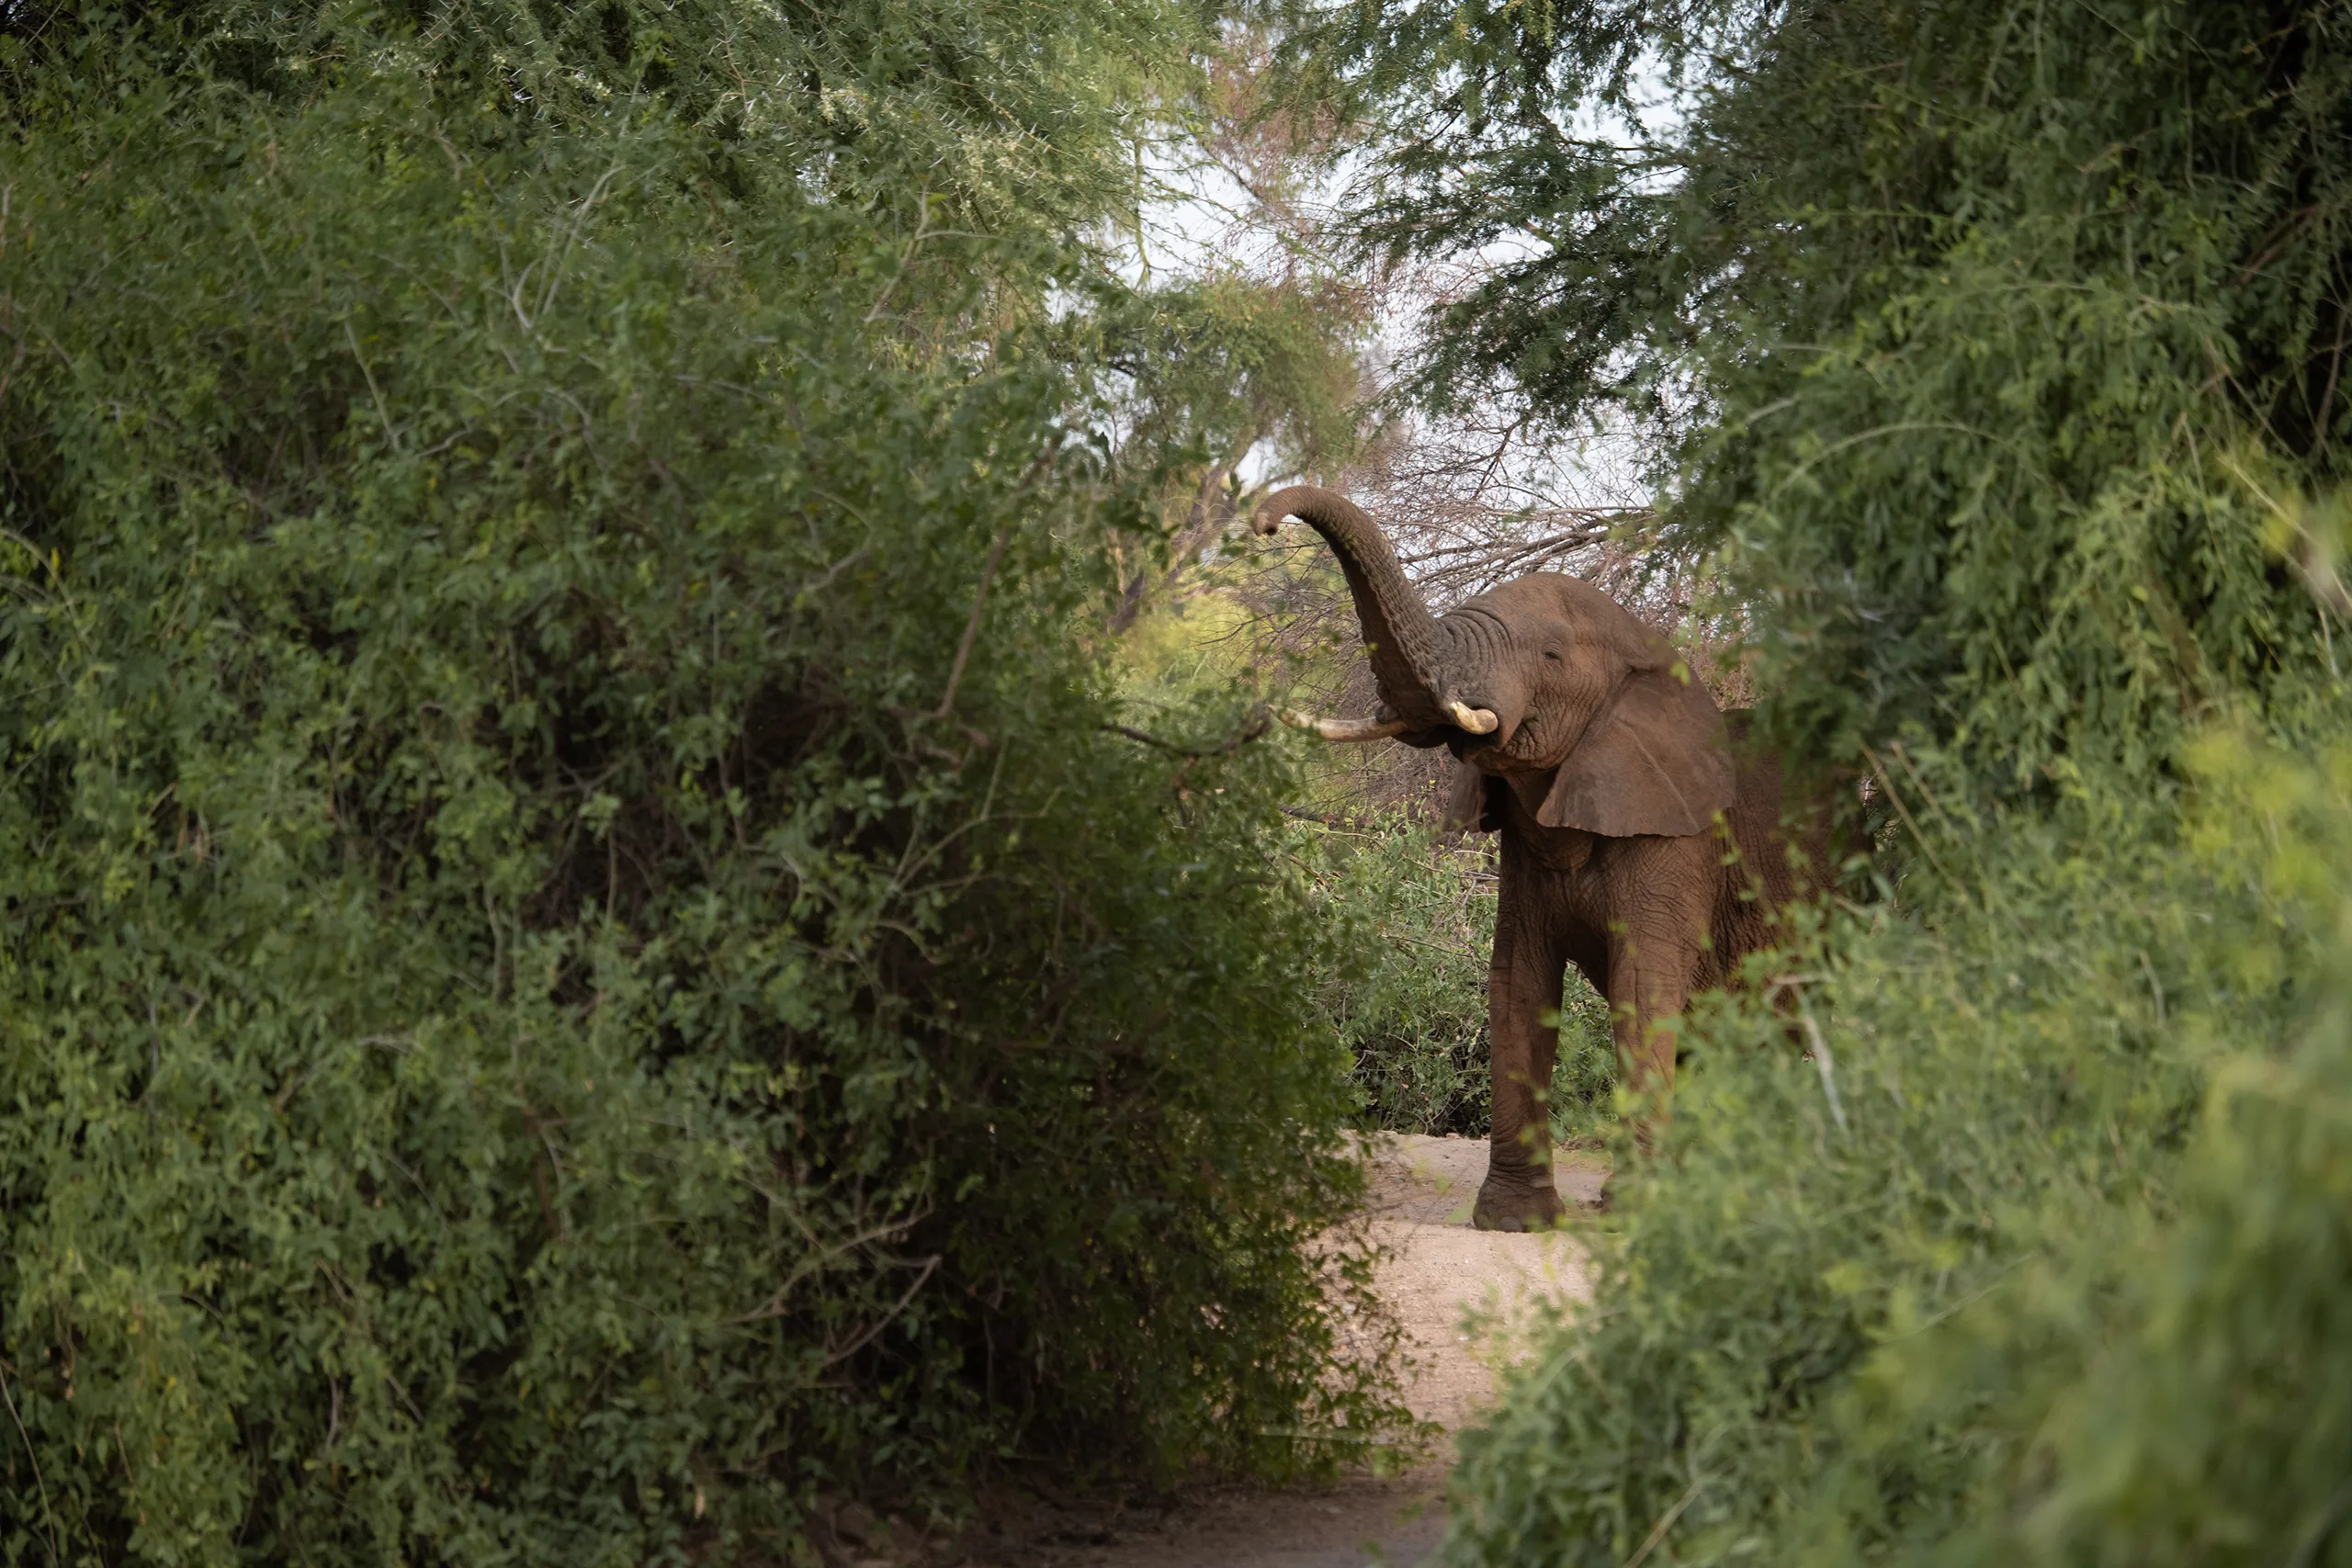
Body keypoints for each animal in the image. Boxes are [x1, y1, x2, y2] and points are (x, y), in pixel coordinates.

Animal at [1256, 486, 1830, 1231]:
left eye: (1552, 656)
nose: (1264, 521)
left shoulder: (1675, 840)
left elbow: (1641, 988)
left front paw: (1636, 1211)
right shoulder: (1525, 847)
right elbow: (1517, 983)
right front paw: (1515, 1221)